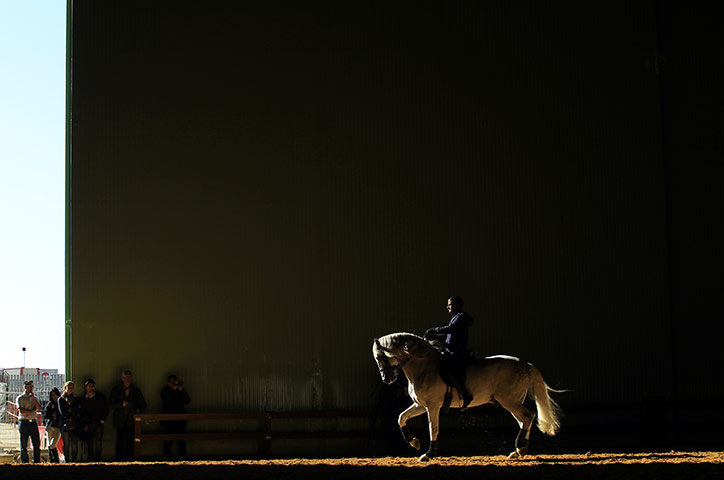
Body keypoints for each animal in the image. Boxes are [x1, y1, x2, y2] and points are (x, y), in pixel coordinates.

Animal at [372, 332, 562, 461]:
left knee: (529, 415)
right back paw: (518, 451)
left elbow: (433, 428)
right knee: (524, 420)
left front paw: (429, 454)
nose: (387, 379)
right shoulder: (420, 405)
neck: (423, 367)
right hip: (512, 402)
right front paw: (414, 442)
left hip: (510, 401)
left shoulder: (432, 406)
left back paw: (521, 448)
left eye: (380, 357)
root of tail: (526, 364)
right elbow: (401, 417)